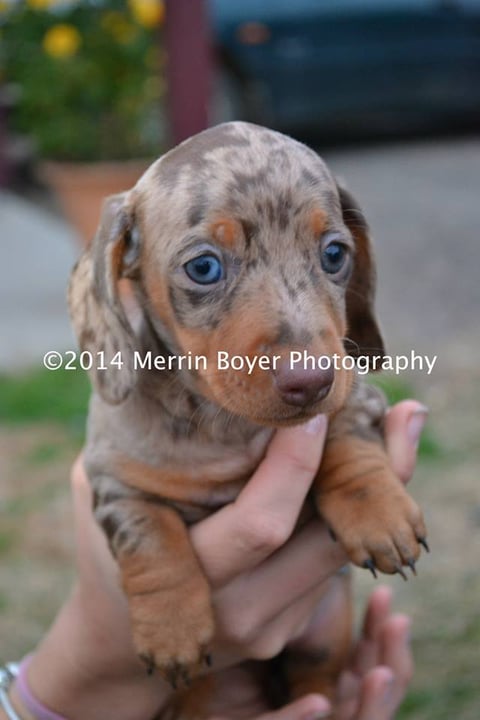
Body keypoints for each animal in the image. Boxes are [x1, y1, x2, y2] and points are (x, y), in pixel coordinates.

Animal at [68, 122, 428, 716]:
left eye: (335, 254)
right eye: (204, 266)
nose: (311, 381)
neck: (225, 426)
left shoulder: (355, 399)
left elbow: (346, 439)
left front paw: (377, 512)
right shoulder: (116, 482)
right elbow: (149, 535)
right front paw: (171, 627)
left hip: (323, 634)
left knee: (316, 679)